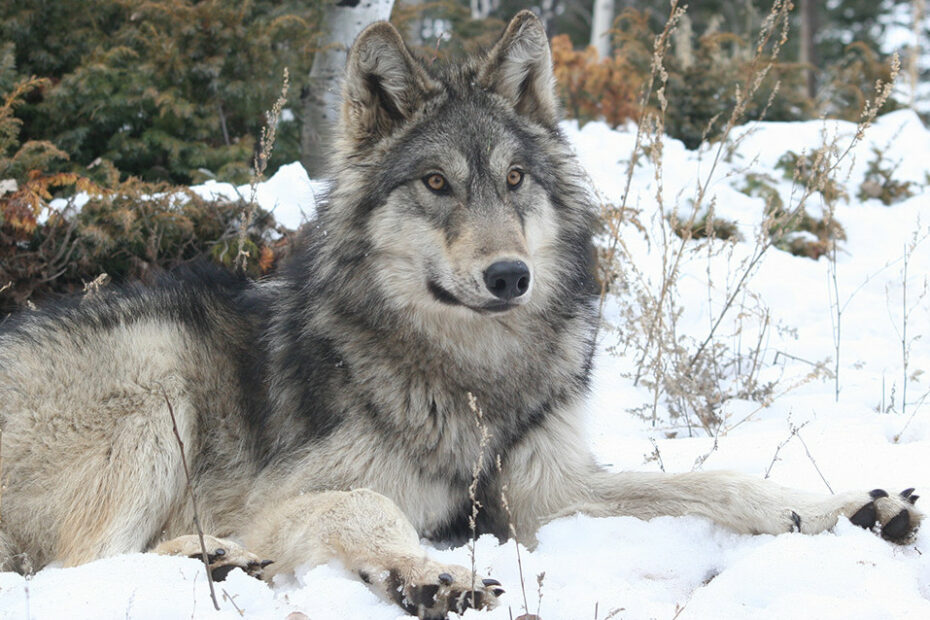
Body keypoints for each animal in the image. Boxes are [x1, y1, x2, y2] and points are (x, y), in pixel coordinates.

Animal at [0, 10, 916, 620]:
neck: (474, 375)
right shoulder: (280, 497)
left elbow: (717, 483)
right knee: (78, 567)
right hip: (154, 373)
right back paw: (217, 560)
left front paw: (848, 510)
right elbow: (366, 505)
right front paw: (431, 574)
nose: (509, 275)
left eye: (514, 180)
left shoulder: (544, 493)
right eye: (437, 182)